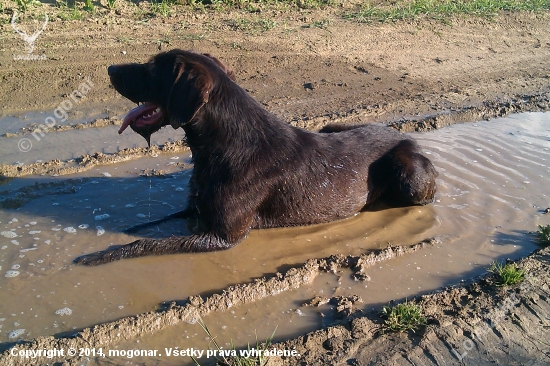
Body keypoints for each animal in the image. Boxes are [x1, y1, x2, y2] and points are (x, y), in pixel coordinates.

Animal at [73, 50, 438, 264]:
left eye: (150, 69)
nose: (110, 67)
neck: (216, 147)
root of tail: (404, 135)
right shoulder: (193, 210)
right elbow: (145, 227)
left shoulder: (224, 237)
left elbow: (146, 245)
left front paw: (97, 256)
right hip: (331, 125)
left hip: (411, 177)